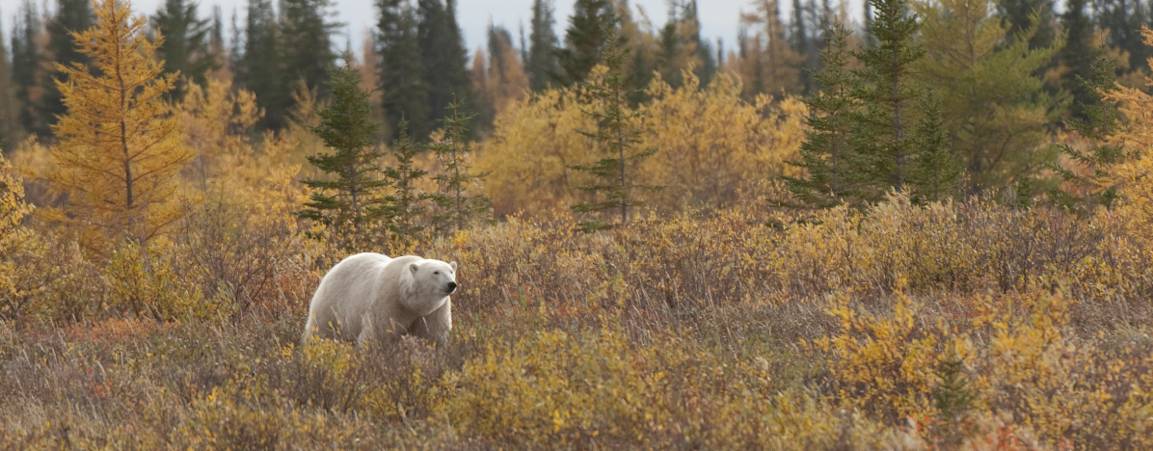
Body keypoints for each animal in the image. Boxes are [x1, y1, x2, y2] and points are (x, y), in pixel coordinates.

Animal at [302, 253, 458, 347]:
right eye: (436, 272)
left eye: (451, 271)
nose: (451, 284)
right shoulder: (388, 300)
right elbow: (377, 331)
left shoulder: (435, 310)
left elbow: (434, 334)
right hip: (332, 302)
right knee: (321, 329)